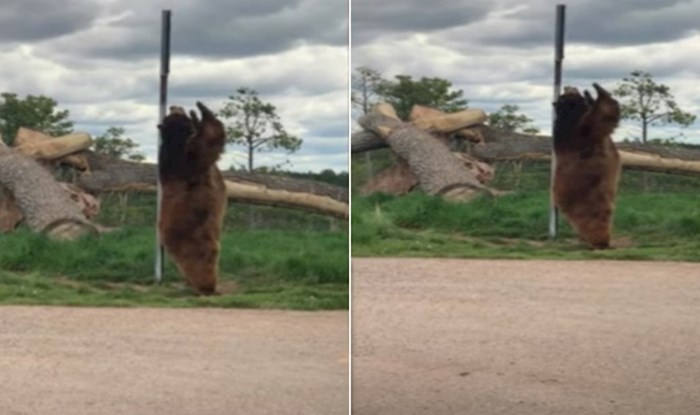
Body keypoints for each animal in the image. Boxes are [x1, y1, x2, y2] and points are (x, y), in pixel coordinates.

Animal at [157, 102, 226, 294]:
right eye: (170, 113)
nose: (174, 105)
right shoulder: (183, 162)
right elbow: (205, 144)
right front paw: (201, 111)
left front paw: (196, 115)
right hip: (192, 241)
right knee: (200, 263)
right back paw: (206, 287)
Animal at [556, 83, 620, 249]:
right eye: (565, 93)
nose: (568, 86)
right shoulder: (578, 133)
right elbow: (599, 118)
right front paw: (598, 90)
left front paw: (590, 94)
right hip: (588, 205)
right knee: (594, 222)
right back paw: (600, 242)